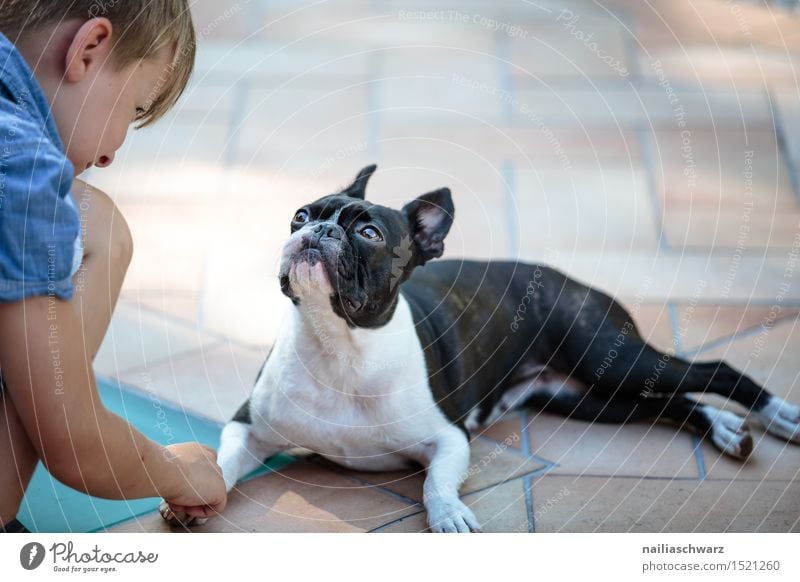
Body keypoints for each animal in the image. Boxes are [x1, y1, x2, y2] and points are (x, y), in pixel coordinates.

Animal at [161, 167, 800, 536]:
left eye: (368, 233)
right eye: (299, 214)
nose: (316, 231)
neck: (338, 344)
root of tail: (572, 281)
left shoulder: (448, 438)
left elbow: (434, 484)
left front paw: (448, 516)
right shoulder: (248, 426)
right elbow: (219, 462)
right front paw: (192, 496)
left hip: (608, 360)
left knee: (713, 372)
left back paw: (777, 415)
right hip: (588, 398)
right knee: (677, 402)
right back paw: (725, 429)